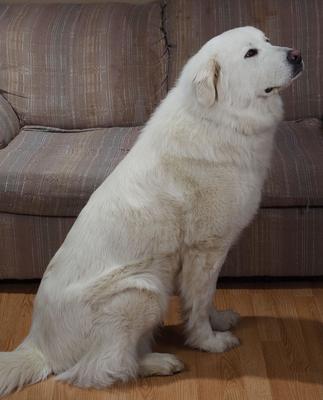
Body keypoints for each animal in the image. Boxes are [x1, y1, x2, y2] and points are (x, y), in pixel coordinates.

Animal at [0, 26, 304, 396]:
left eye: (267, 41)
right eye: (250, 54)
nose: (297, 55)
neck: (219, 118)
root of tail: (38, 346)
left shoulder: (207, 255)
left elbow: (207, 299)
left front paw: (218, 321)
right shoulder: (205, 250)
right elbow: (200, 301)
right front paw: (209, 341)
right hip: (142, 291)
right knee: (99, 369)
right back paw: (160, 363)